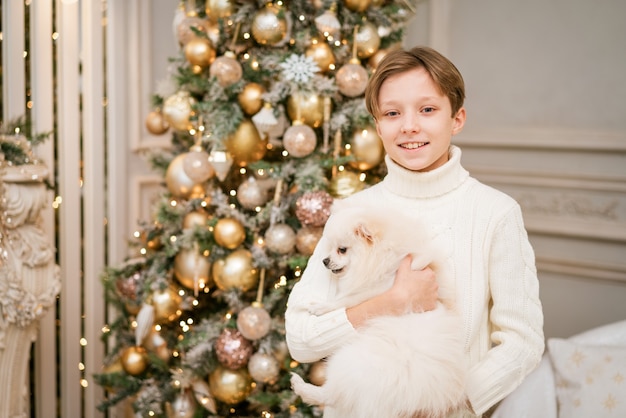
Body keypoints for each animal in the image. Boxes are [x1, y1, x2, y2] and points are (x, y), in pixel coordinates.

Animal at [290, 203, 466, 418]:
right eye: (330, 248)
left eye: (342, 250)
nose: (324, 260)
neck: (387, 259)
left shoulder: (374, 290)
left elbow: (344, 300)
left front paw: (320, 307)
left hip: (352, 361)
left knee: (331, 394)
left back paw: (300, 386)